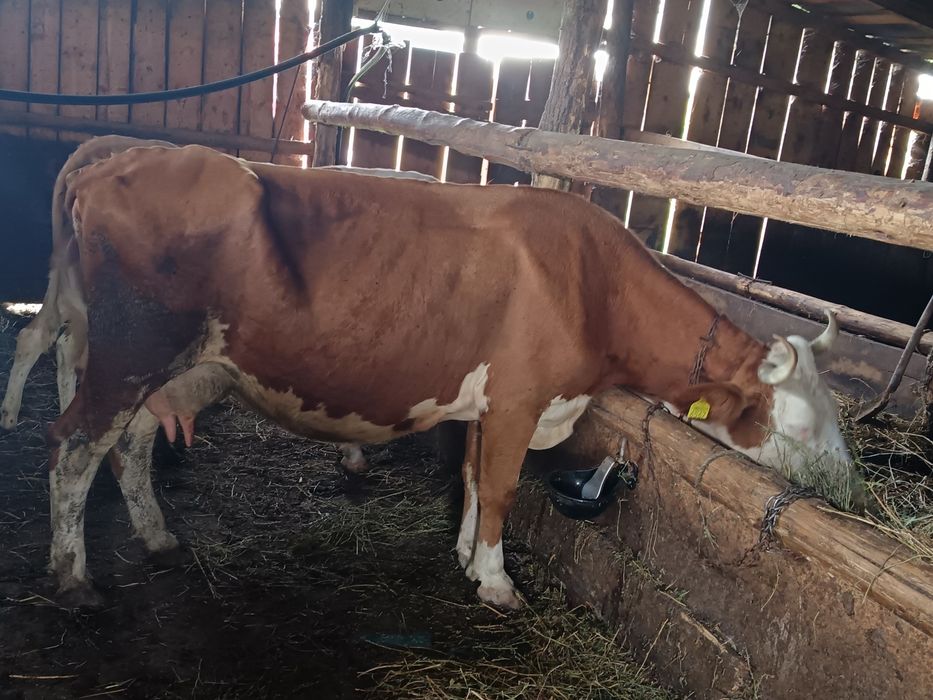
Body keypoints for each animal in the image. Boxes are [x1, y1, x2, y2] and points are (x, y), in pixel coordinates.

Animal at [46, 143, 861, 610]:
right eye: (796, 426)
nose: (851, 490)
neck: (590, 284)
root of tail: (111, 163)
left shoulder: (489, 403)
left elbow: (471, 478)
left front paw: (467, 557)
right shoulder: (522, 399)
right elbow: (500, 487)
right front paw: (497, 584)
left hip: (164, 363)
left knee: (131, 445)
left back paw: (156, 537)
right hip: (129, 352)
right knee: (75, 451)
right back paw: (73, 577)